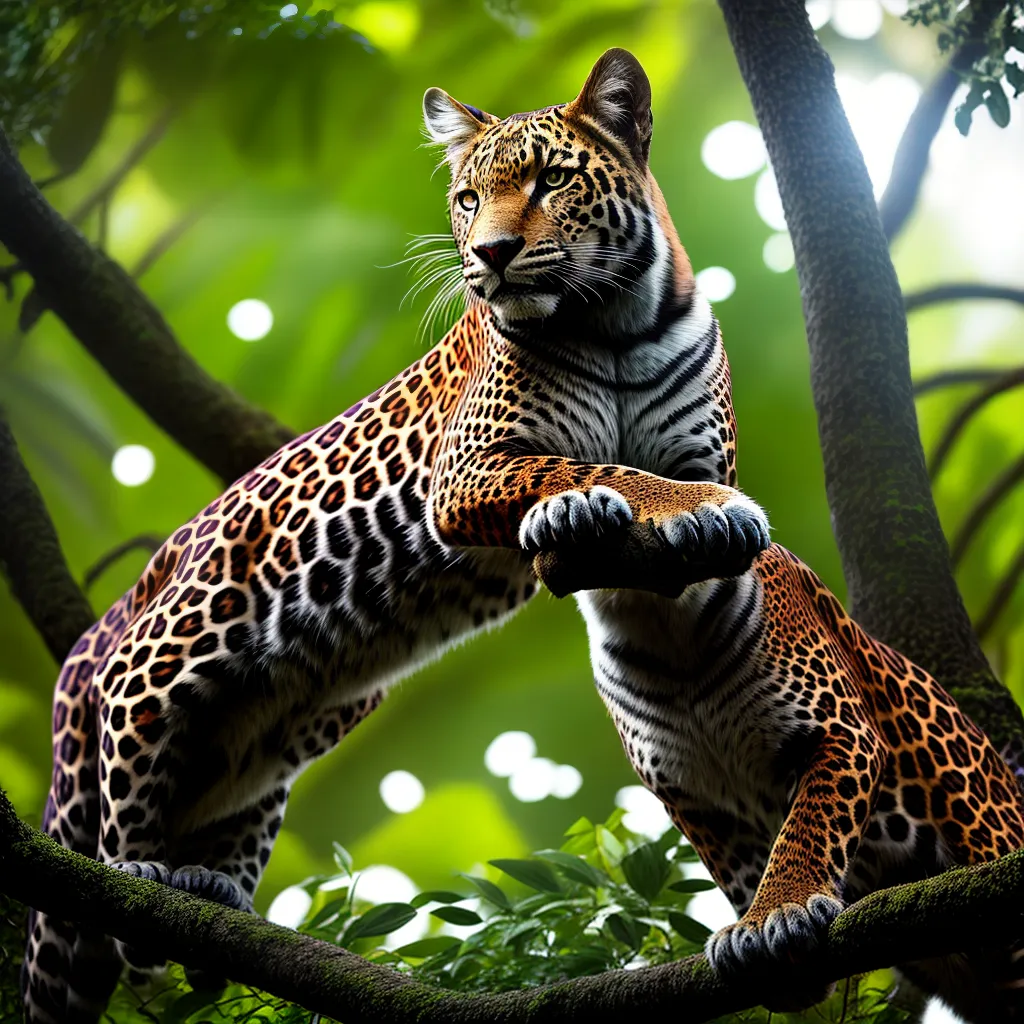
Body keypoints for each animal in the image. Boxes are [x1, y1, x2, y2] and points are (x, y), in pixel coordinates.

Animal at [21, 48, 773, 1024]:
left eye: (551, 179)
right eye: (467, 197)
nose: (490, 254)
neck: (614, 324)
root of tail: (100, 627)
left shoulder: (688, 457)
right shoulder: (470, 467)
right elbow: (587, 467)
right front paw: (634, 504)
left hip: (287, 729)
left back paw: (210, 890)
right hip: (174, 651)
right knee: (119, 806)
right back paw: (144, 876)